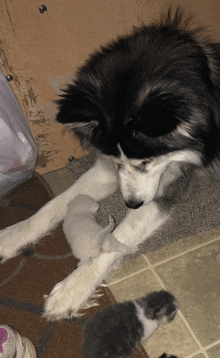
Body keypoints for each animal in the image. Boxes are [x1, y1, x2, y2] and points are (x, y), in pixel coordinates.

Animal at [0, 9, 220, 318]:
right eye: (116, 161)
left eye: (147, 161)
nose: (132, 204)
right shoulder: (107, 170)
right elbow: (54, 205)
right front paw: (12, 235)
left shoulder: (165, 188)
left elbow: (118, 237)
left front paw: (72, 288)